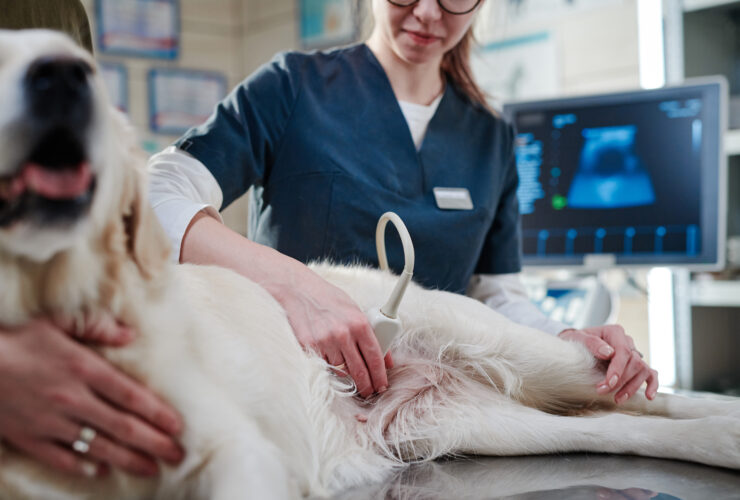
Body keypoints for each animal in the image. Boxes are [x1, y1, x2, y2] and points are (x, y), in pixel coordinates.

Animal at [0, 30, 736, 500]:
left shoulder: (232, 446)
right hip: (470, 424)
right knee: (618, 425)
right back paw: (721, 438)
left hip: (521, 348)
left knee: (645, 392)